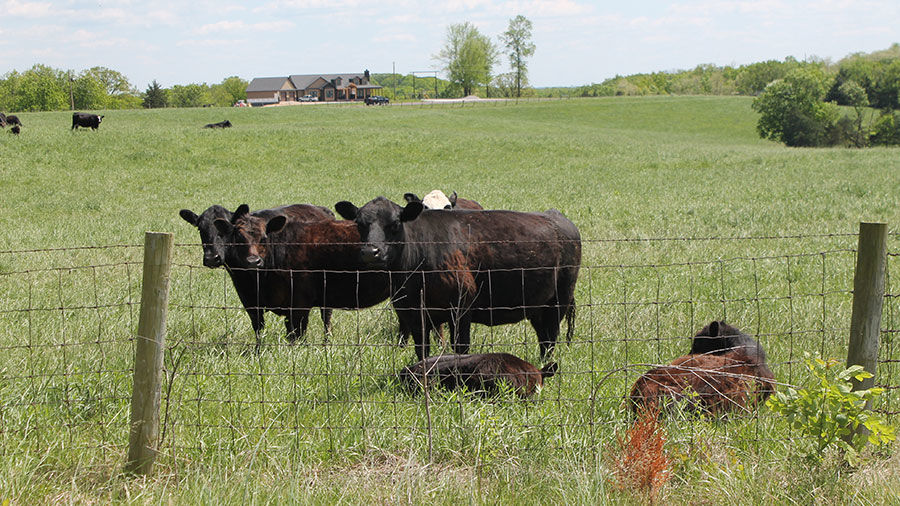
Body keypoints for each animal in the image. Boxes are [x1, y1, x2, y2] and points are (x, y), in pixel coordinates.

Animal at [180, 203, 335, 349]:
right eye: (200, 229)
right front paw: (258, 351)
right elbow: (258, 327)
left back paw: (326, 342)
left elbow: (296, 330)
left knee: (326, 317)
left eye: (226, 230)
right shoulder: (248, 299)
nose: (212, 258)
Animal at [335, 197, 581, 362]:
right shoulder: (412, 313)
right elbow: (422, 349)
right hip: (537, 306)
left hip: (559, 300)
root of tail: (556, 216)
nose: (371, 252)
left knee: (550, 338)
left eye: (395, 224)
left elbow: (461, 347)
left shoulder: (461, 306)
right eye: (359, 224)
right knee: (543, 338)